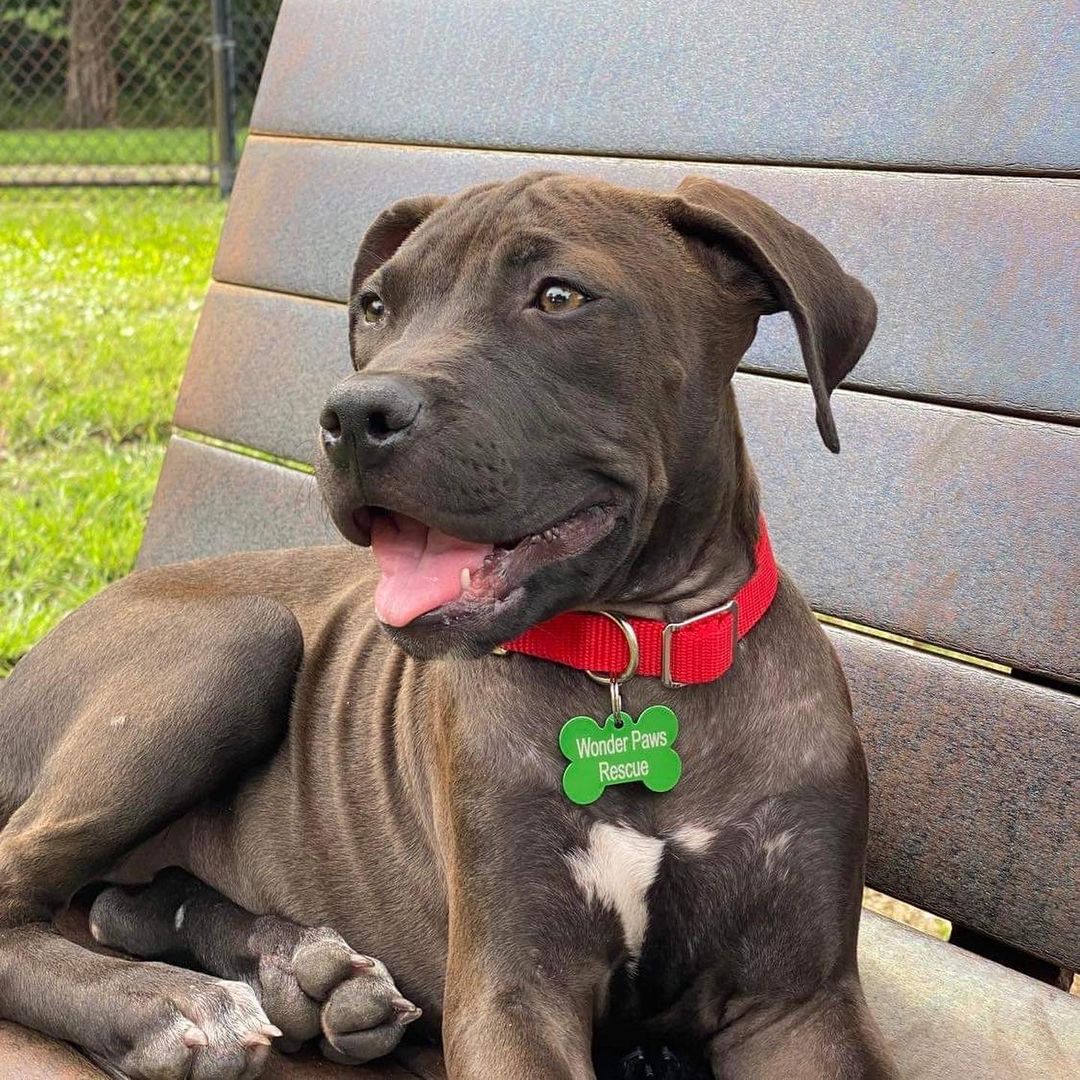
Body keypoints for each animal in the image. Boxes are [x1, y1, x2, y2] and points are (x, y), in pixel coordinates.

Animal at [0, 172, 894, 1075]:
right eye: (374, 307)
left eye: (560, 297)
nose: (352, 417)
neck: (638, 660)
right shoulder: (512, 987)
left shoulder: (800, 1003)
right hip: (239, 640)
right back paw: (167, 1007)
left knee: (121, 904)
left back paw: (304, 974)